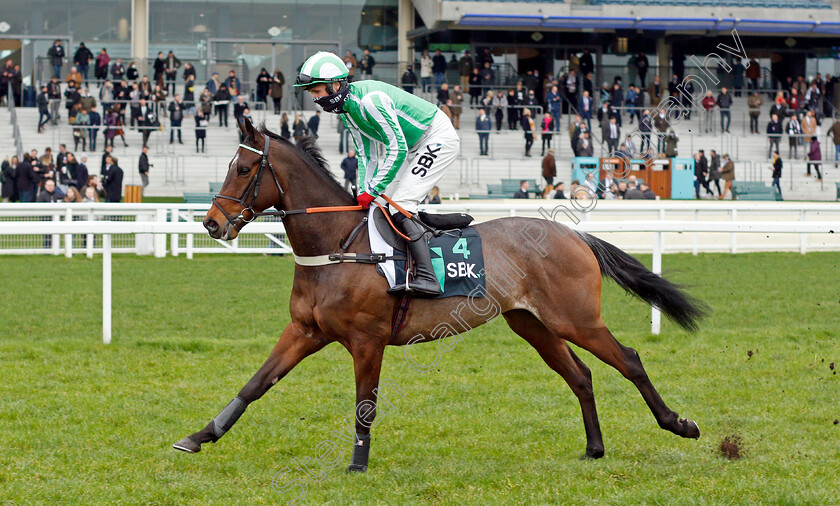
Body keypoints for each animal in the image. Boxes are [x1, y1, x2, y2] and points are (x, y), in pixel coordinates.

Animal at [174, 118, 704, 470]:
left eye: (245, 169)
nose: (211, 224)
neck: (336, 244)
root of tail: (574, 235)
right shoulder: (305, 330)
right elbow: (255, 384)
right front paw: (199, 436)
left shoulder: (368, 340)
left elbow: (365, 403)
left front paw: (357, 464)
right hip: (533, 324)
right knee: (581, 376)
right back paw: (594, 448)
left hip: (577, 319)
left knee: (629, 359)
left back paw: (679, 423)